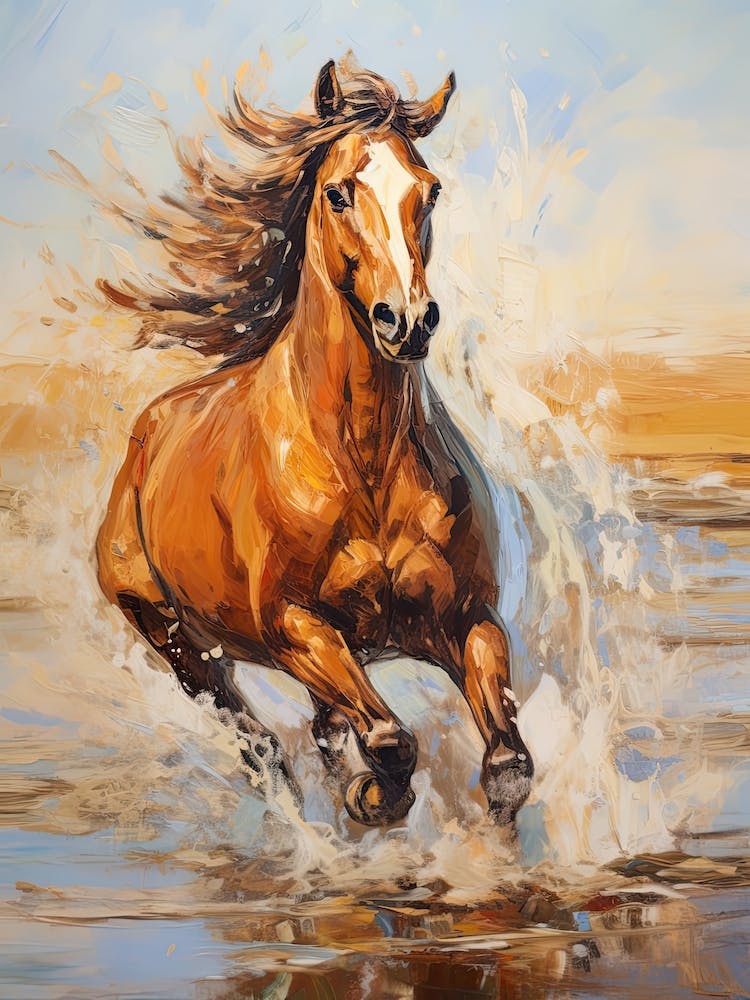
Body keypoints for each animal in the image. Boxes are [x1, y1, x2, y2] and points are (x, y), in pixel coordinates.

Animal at [96, 59, 533, 826]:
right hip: (173, 638)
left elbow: (508, 765)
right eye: (337, 192)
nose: (407, 321)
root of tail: (145, 433)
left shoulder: (467, 619)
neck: (364, 460)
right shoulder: (294, 626)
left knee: (318, 727)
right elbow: (390, 741)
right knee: (259, 742)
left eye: (430, 191)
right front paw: (373, 796)